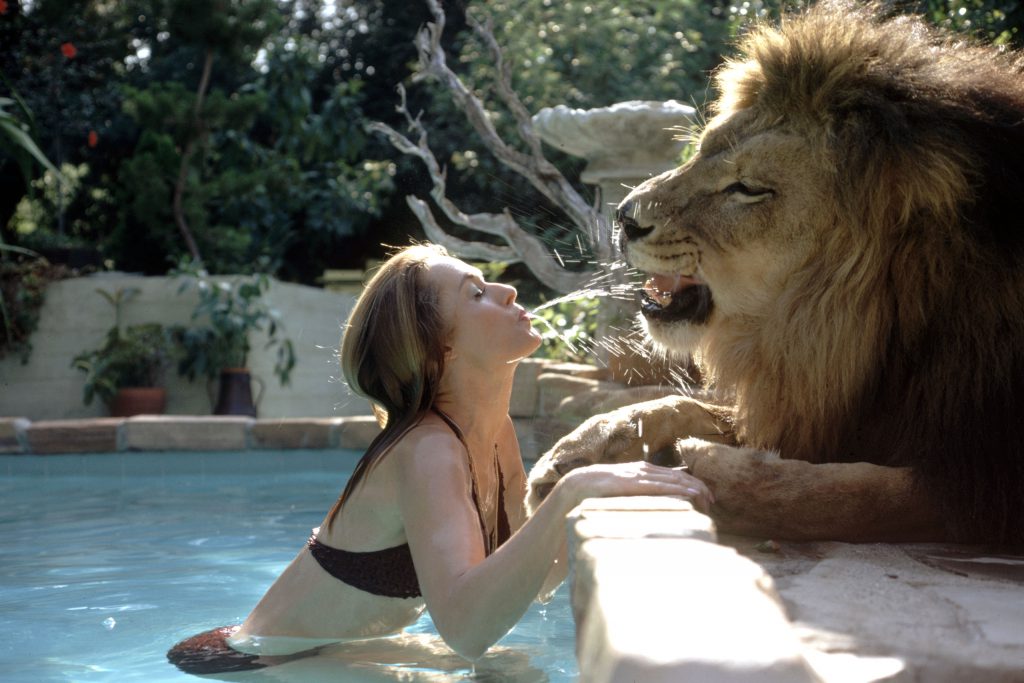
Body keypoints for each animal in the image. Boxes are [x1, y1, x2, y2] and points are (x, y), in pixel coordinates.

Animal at [528, 0, 1024, 544]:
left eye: (747, 188)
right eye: (703, 150)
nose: (624, 217)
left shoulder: (982, 478)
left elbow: (856, 496)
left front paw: (710, 468)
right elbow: (680, 404)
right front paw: (581, 448)